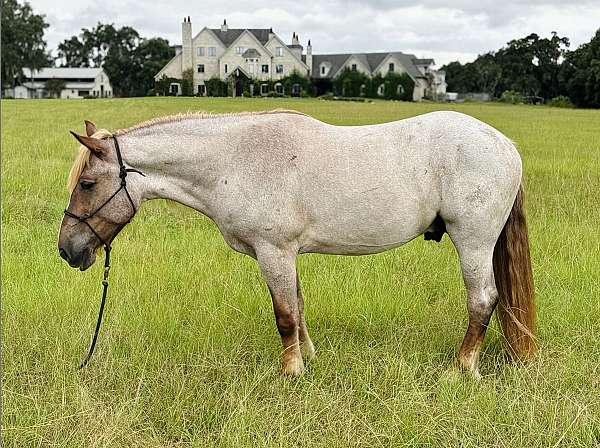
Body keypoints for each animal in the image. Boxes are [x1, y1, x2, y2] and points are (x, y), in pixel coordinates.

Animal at [58, 110, 536, 376]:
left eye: (86, 183)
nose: (67, 250)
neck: (234, 159)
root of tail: (505, 144)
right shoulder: (288, 255)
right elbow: (299, 307)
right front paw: (308, 357)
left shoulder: (274, 252)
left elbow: (285, 315)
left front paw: (291, 372)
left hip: (472, 242)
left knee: (482, 300)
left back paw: (462, 369)